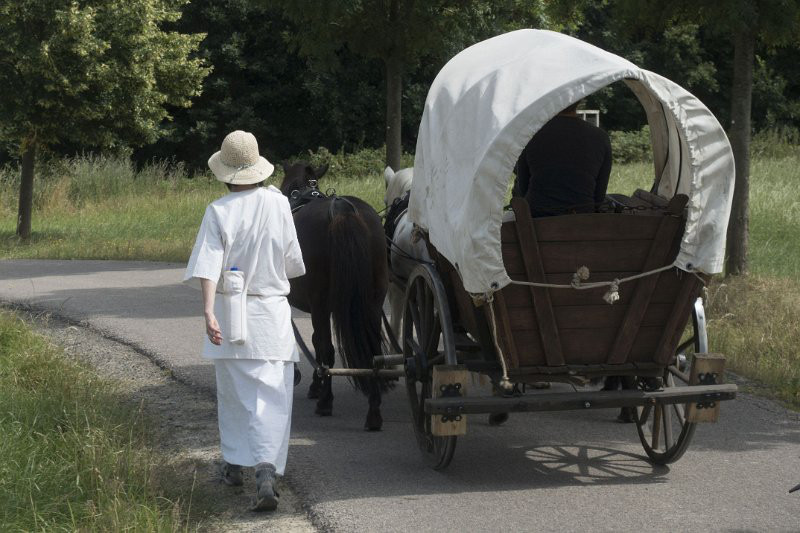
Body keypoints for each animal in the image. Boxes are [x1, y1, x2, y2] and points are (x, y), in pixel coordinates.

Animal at [280, 162, 390, 431]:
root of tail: (343, 210)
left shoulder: (315, 306)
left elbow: (318, 343)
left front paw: (316, 387)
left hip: (320, 302)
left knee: (328, 349)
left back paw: (325, 402)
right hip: (373, 300)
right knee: (373, 351)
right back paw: (373, 412)